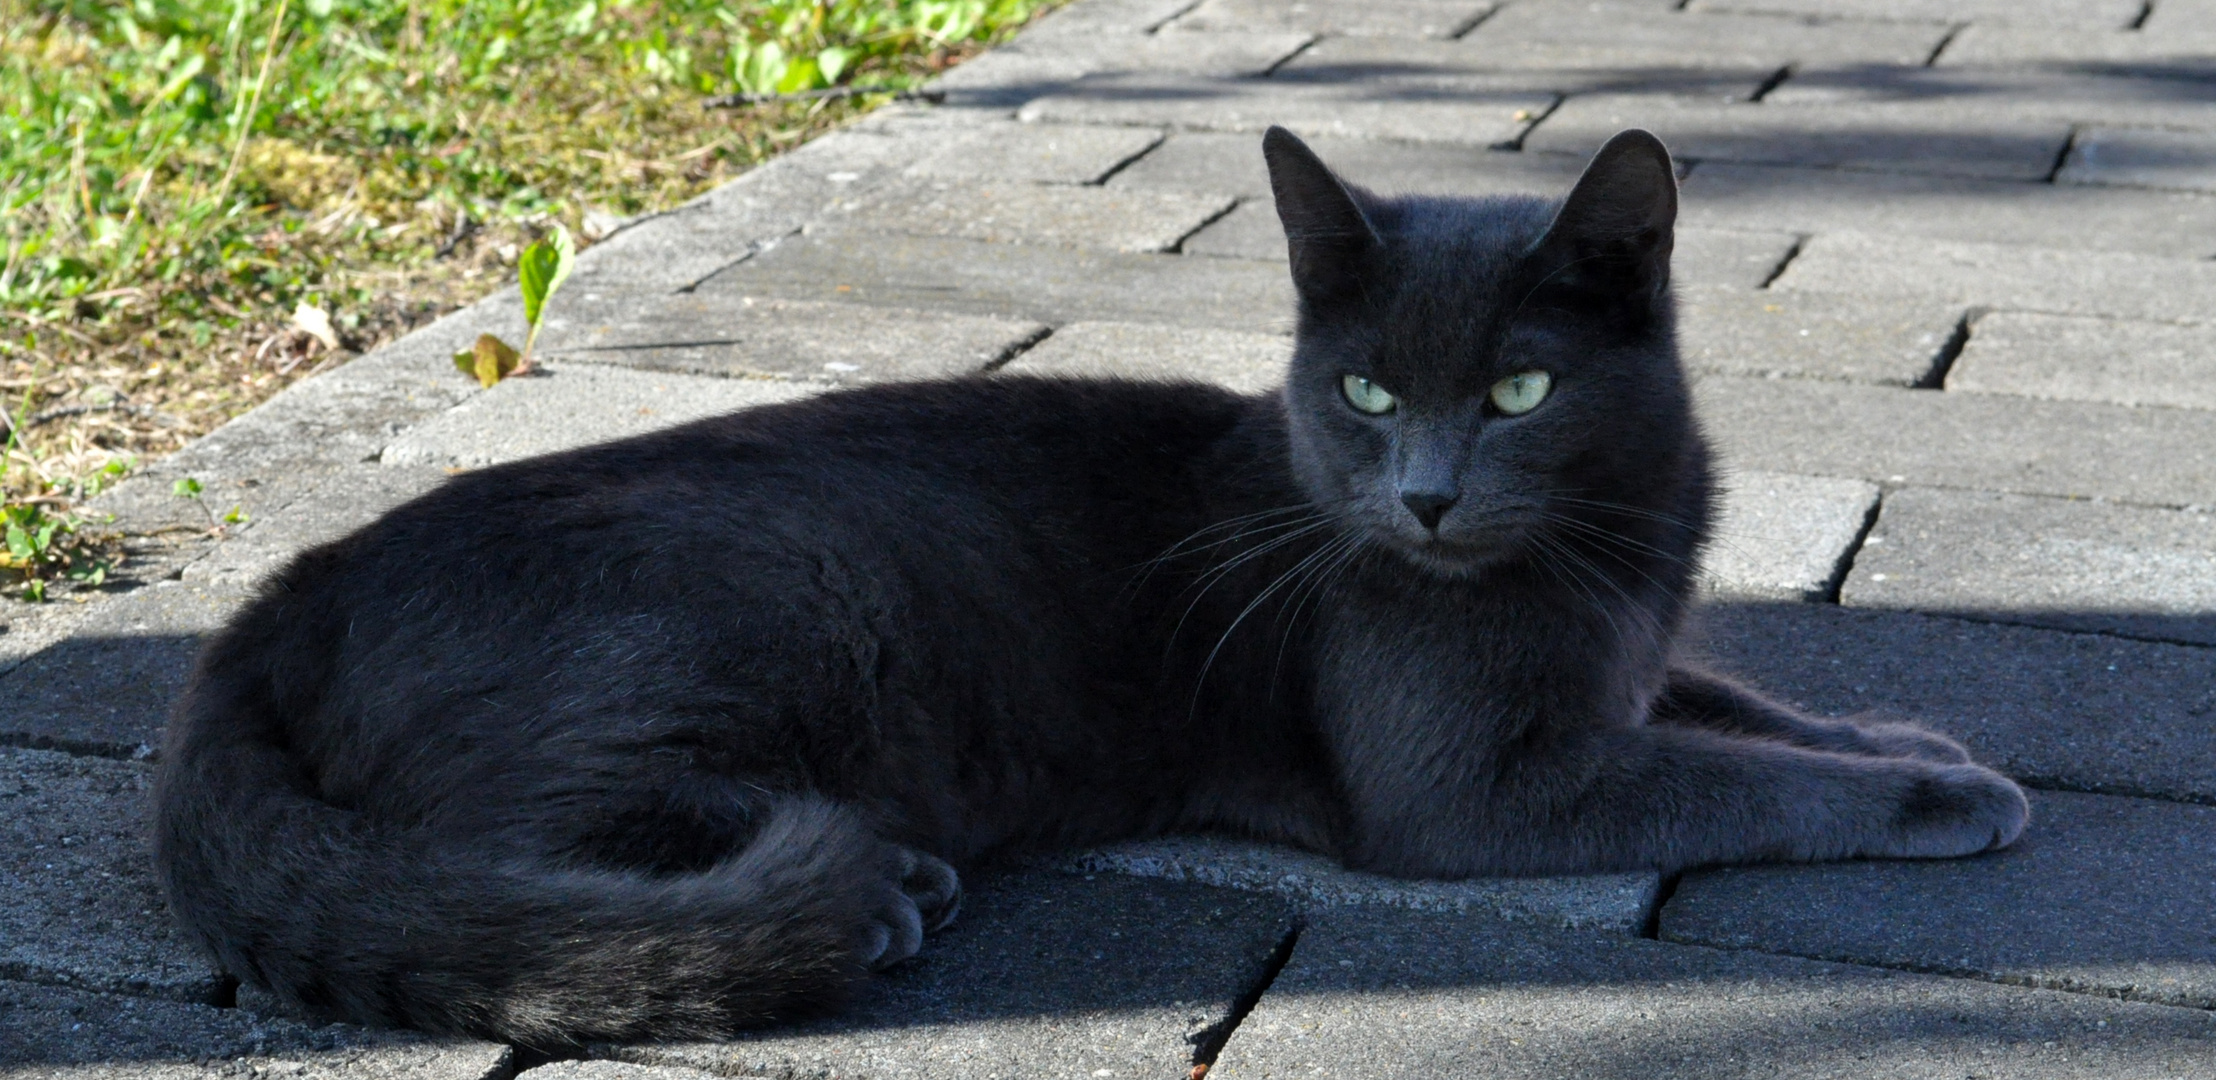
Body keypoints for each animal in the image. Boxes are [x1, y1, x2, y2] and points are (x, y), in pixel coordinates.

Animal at [156, 126, 2029, 1046]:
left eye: (1518, 390)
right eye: (1365, 392)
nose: (1423, 500)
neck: (1603, 554)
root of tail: (282, 597)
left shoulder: (1624, 664)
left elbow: (1740, 701)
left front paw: (1911, 731)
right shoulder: (1485, 788)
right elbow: (1734, 774)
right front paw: (1948, 796)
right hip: (776, 585)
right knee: (494, 830)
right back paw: (886, 879)